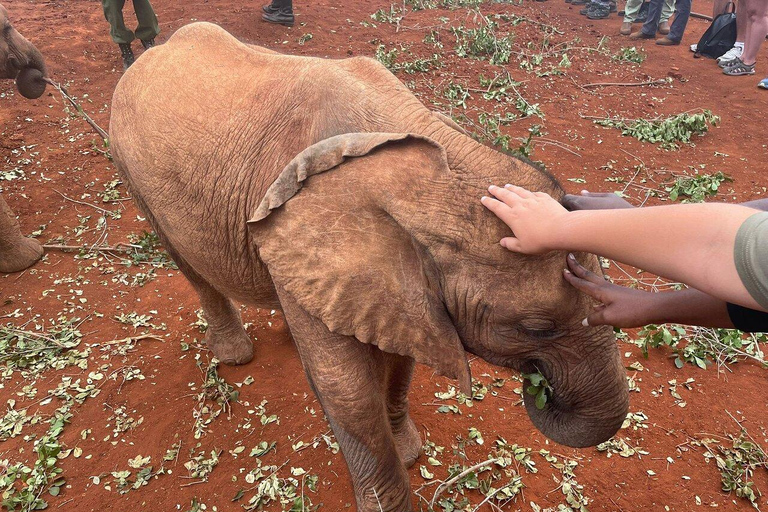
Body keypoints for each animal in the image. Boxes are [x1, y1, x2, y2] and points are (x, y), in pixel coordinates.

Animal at [111, 24, 632, 512]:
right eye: (536, 328)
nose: (539, 387)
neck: (436, 167)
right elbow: (349, 392)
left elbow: (401, 361)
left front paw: (410, 452)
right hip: (130, 168)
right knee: (188, 264)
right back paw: (233, 354)